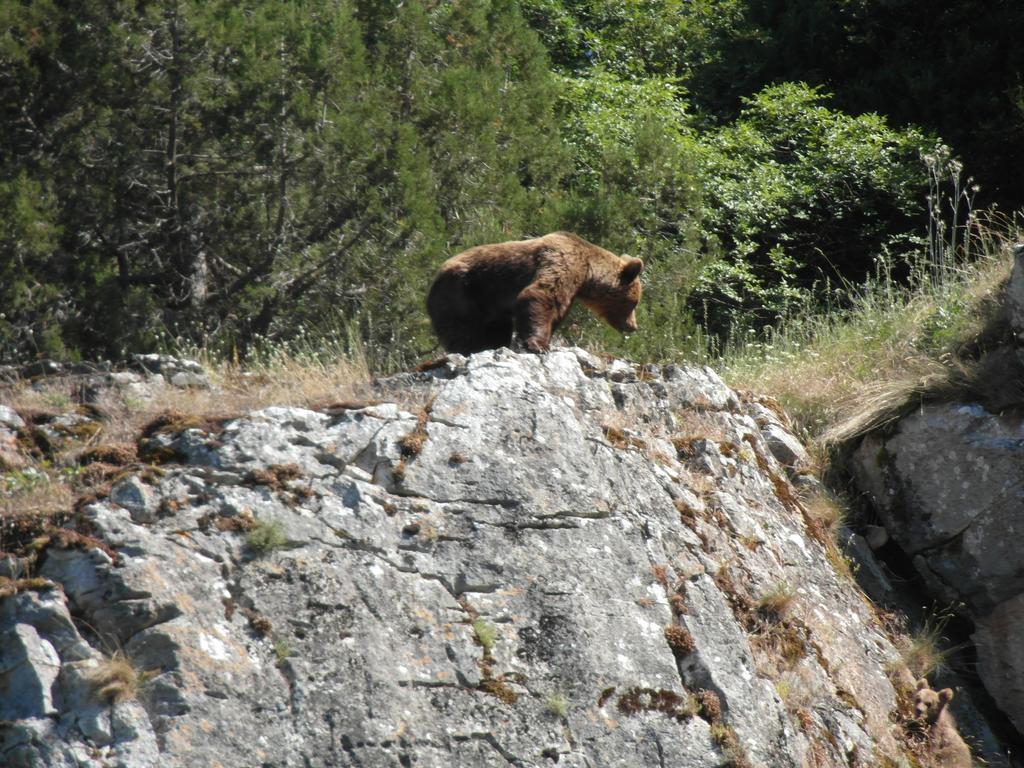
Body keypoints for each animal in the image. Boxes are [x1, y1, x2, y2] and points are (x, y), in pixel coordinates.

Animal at [428, 231, 643, 354]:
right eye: (633, 303)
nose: (632, 326)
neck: (587, 273)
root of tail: (435, 275)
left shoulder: (572, 288)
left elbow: (556, 311)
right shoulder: (563, 261)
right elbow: (540, 294)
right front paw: (539, 346)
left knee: (496, 328)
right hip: (463, 290)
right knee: (462, 328)